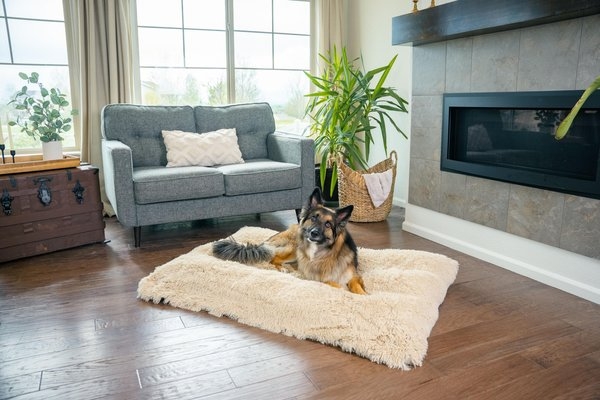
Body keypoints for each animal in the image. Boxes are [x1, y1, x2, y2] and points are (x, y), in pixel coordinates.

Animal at [212, 188, 367, 294]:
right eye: (313, 218)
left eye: (328, 224)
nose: (314, 233)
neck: (323, 252)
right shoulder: (318, 278)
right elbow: (336, 285)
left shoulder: (354, 276)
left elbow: (357, 287)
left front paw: (363, 295)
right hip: (293, 249)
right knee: (272, 258)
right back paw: (283, 268)